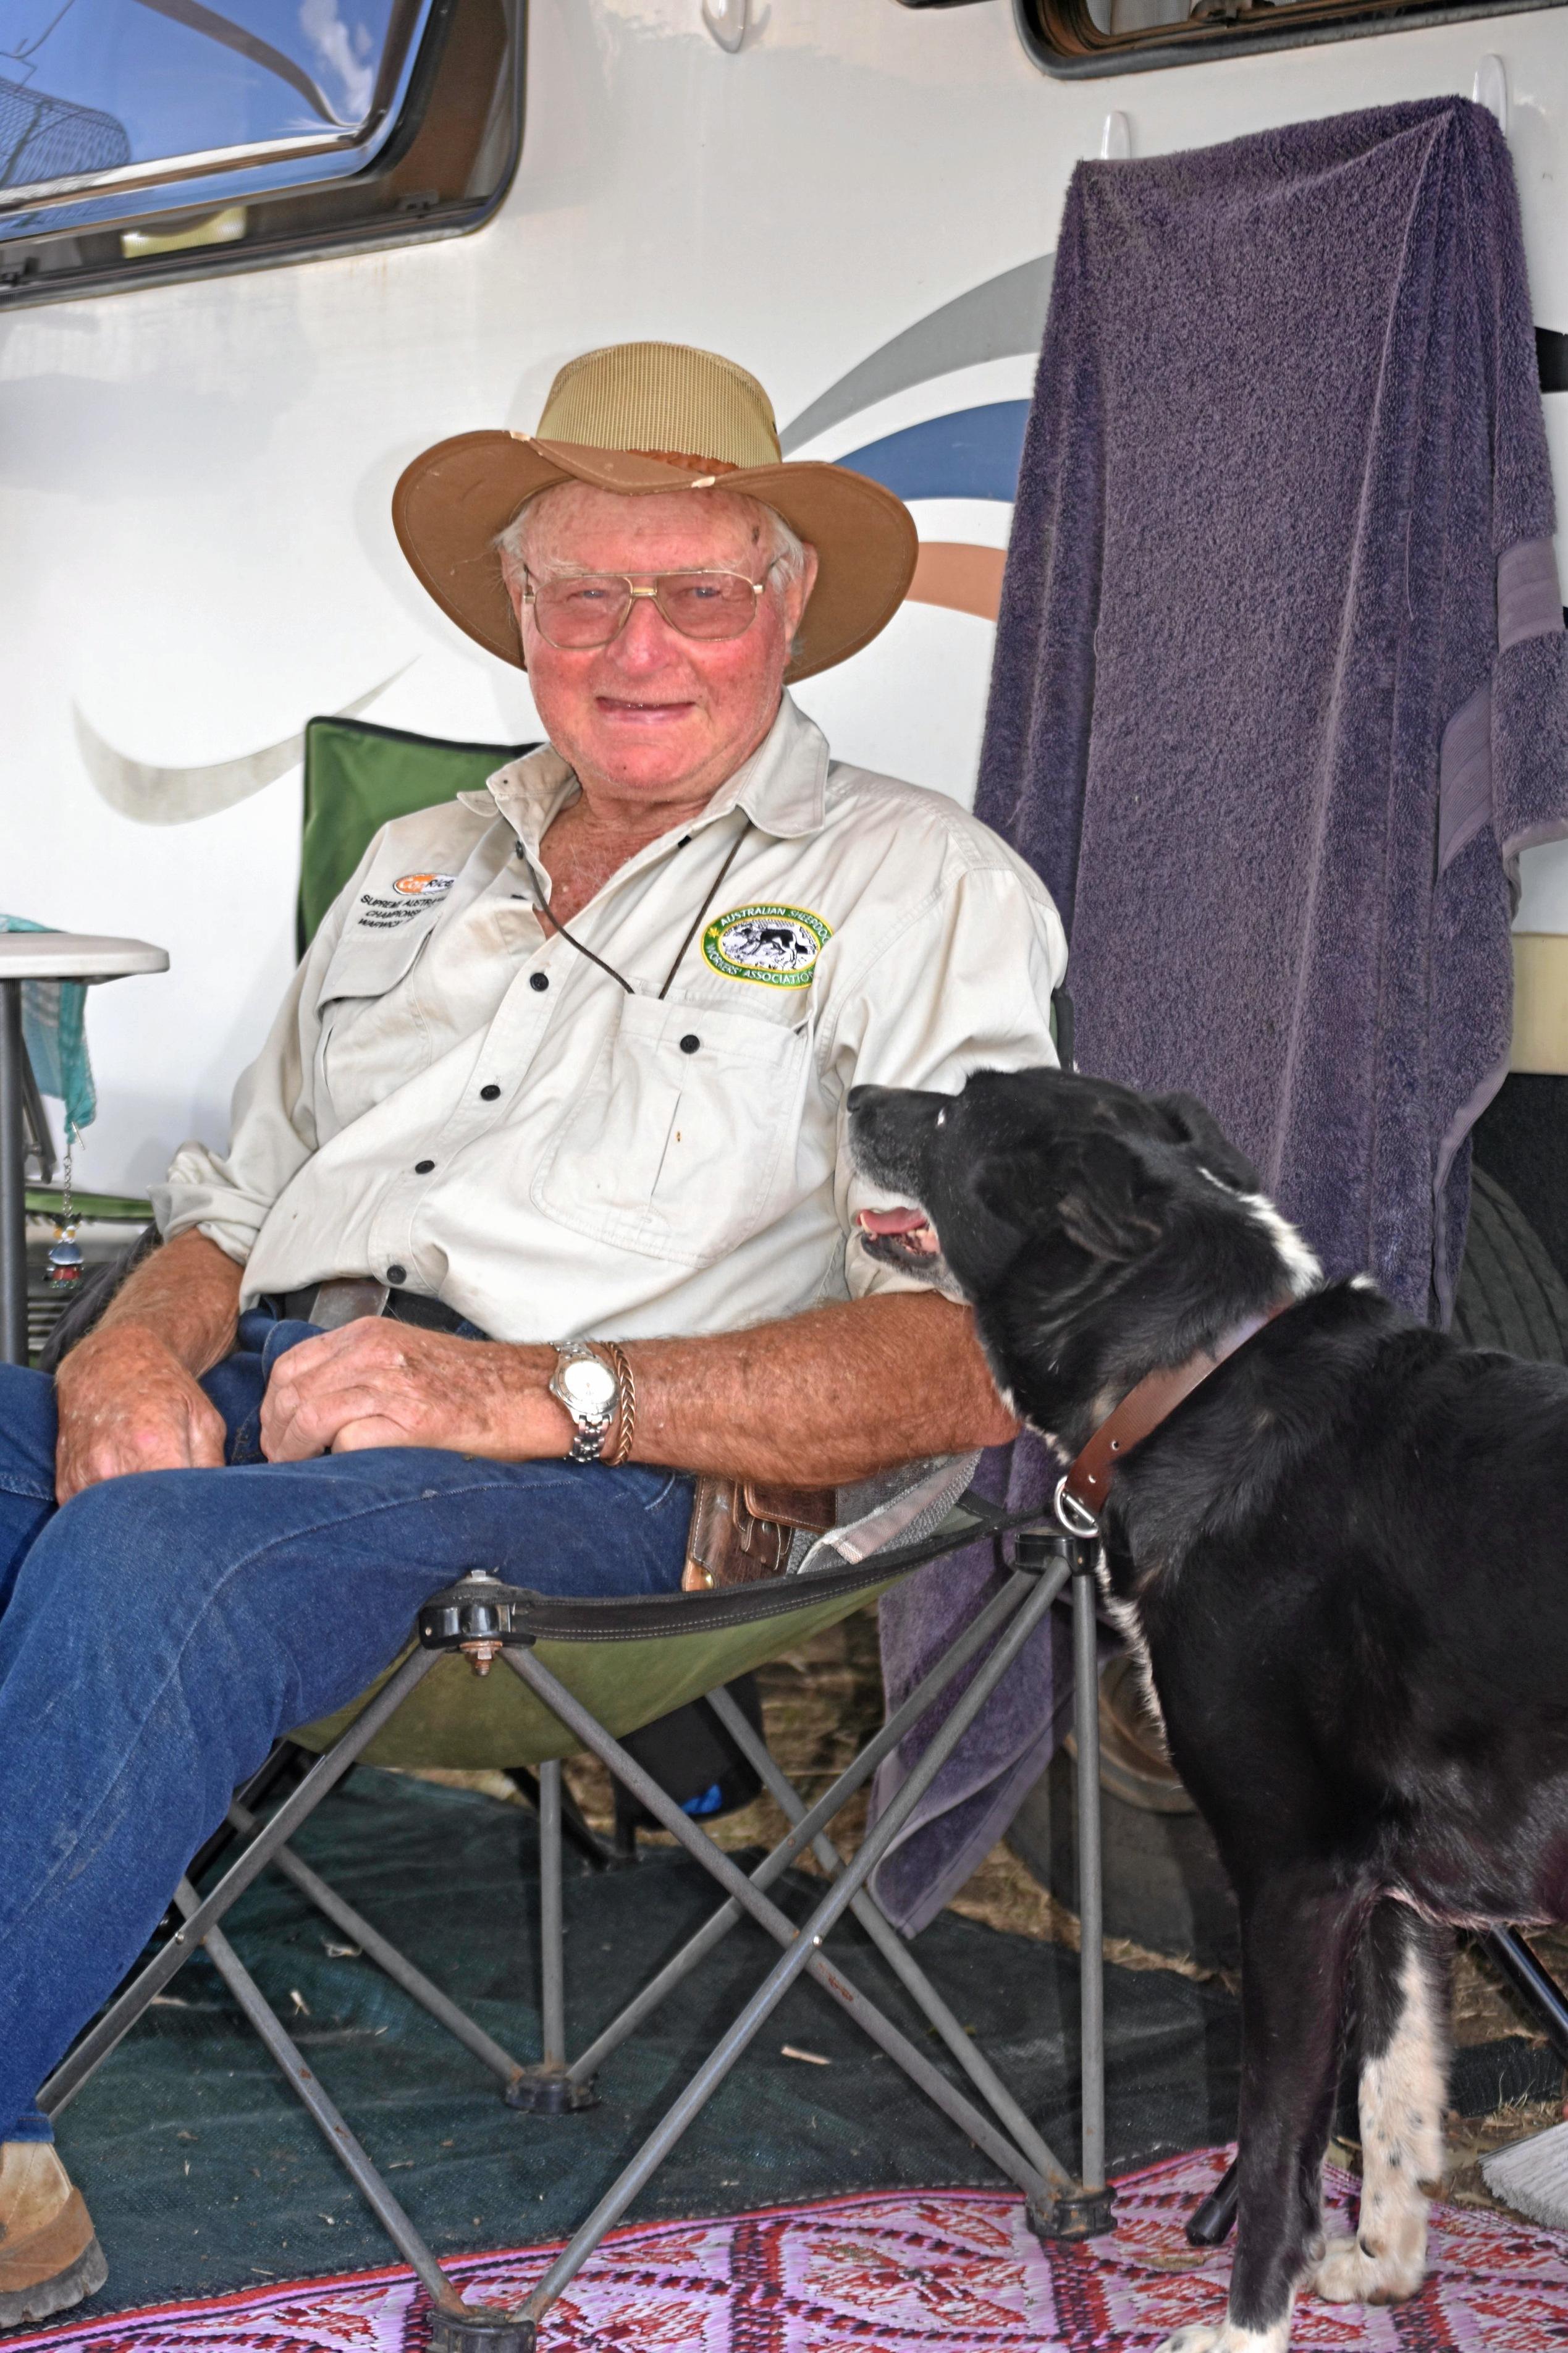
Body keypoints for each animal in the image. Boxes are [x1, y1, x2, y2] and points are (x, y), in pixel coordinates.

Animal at [847, 1073, 1563, 2353]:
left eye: (959, 1107)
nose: (850, 1090)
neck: (1194, 1379)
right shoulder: (1387, 1893)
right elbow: (1393, 2098)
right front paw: (1380, 2270)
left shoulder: (1290, 1878)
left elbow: (1277, 2140)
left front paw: (1246, 2325)